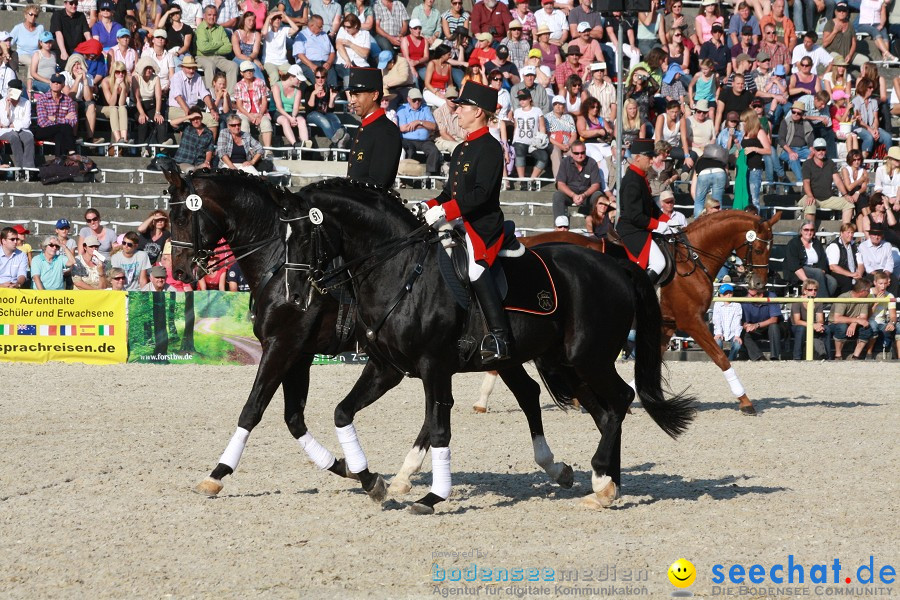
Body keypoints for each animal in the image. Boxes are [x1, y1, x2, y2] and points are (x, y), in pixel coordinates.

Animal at [162, 164, 576, 502]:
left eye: (182, 215)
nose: (179, 271)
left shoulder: (286, 345)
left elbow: (253, 410)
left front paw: (217, 474)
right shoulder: (299, 352)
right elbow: (294, 419)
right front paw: (348, 468)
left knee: (471, 402)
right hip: (492, 356)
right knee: (520, 393)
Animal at [282, 177, 696, 510]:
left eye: (302, 236)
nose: (296, 294)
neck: (400, 270)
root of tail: (616, 265)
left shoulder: (433, 366)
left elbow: (439, 427)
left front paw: (432, 496)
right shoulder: (388, 369)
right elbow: (344, 412)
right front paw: (373, 481)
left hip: (587, 358)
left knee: (620, 400)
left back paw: (602, 482)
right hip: (564, 363)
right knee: (597, 409)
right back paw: (604, 484)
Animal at [472, 209, 780, 414]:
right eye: (759, 247)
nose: (758, 283)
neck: (690, 260)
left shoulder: (666, 325)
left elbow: (652, 358)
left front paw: (631, 397)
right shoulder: (691, 321)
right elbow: (720, 358)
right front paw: (745, 401)